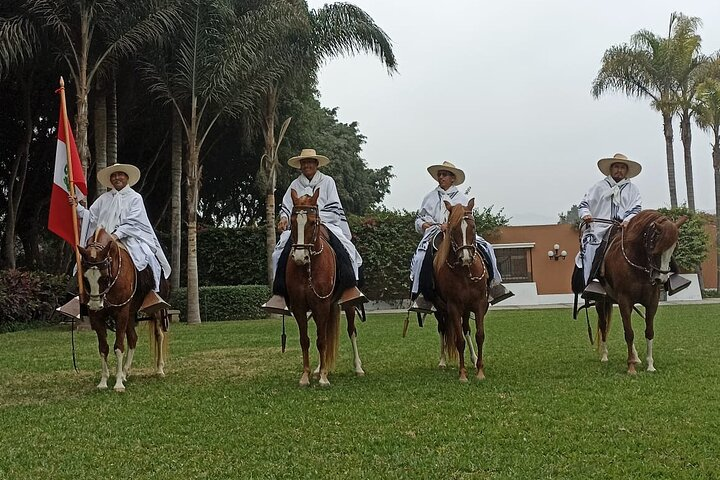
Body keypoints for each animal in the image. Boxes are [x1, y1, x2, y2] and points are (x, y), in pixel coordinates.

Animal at [77, 228, 170, 390]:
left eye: (105, 277)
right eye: (85, 278)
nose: (94, 305)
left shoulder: (121, 313)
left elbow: (119, 346)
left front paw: (118, 384)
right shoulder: (97, 317)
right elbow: (103, 348)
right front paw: (104, 381)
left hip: (155, 310)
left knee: (159, 335)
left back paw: (159, 369)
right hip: (130, 314)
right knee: (133, 338)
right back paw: (125, 372)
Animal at [286, 188, 366, 386]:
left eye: (312, 222)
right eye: (292, 221)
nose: (300, 257)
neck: (308, 268)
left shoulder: (321, 305)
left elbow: (322, 340)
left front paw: (323, 377)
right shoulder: (300, 307)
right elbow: (305, 340)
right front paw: (306, 375)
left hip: (347, 305)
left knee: (351, 331)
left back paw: (358, 368)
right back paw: (317, 369)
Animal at [434, 199, 490, 382]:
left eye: (473, 227)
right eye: (453, 229)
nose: (465, 257)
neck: (465, 273)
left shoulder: (479, 304)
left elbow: (479, 335)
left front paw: (480, 371)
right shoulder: (453, 307)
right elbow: (459, 341)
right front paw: (463, 374)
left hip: (466, 309)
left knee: (466, 329)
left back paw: (473, 359)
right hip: (441, 309)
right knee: (443, 329)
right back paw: (442, 361)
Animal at [592, 210, 688, 376]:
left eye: (674, 248)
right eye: (655, 245)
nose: (661, 279)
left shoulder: (652, 302)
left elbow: (649, 332)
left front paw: (650, 364)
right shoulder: (624, 301)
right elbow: (629, 333)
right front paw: (631, 367)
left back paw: (636, 357)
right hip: (601, 302)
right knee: (603, 325)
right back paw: (605, 355)